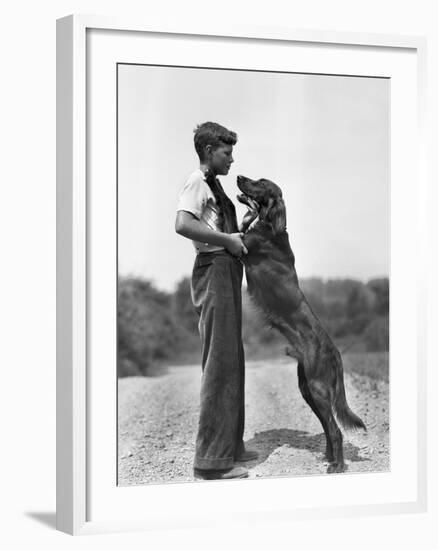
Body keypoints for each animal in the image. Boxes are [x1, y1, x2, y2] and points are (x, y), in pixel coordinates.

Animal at [236, 176, 366, 474]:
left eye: (260, 182)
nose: (238, 177)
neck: (270, 226)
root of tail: (335, 351)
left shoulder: (241, 247)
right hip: (307, 388)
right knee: (328, 427)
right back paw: (329, 458)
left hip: (317, 388)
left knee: (335, 429)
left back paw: (337, 466)